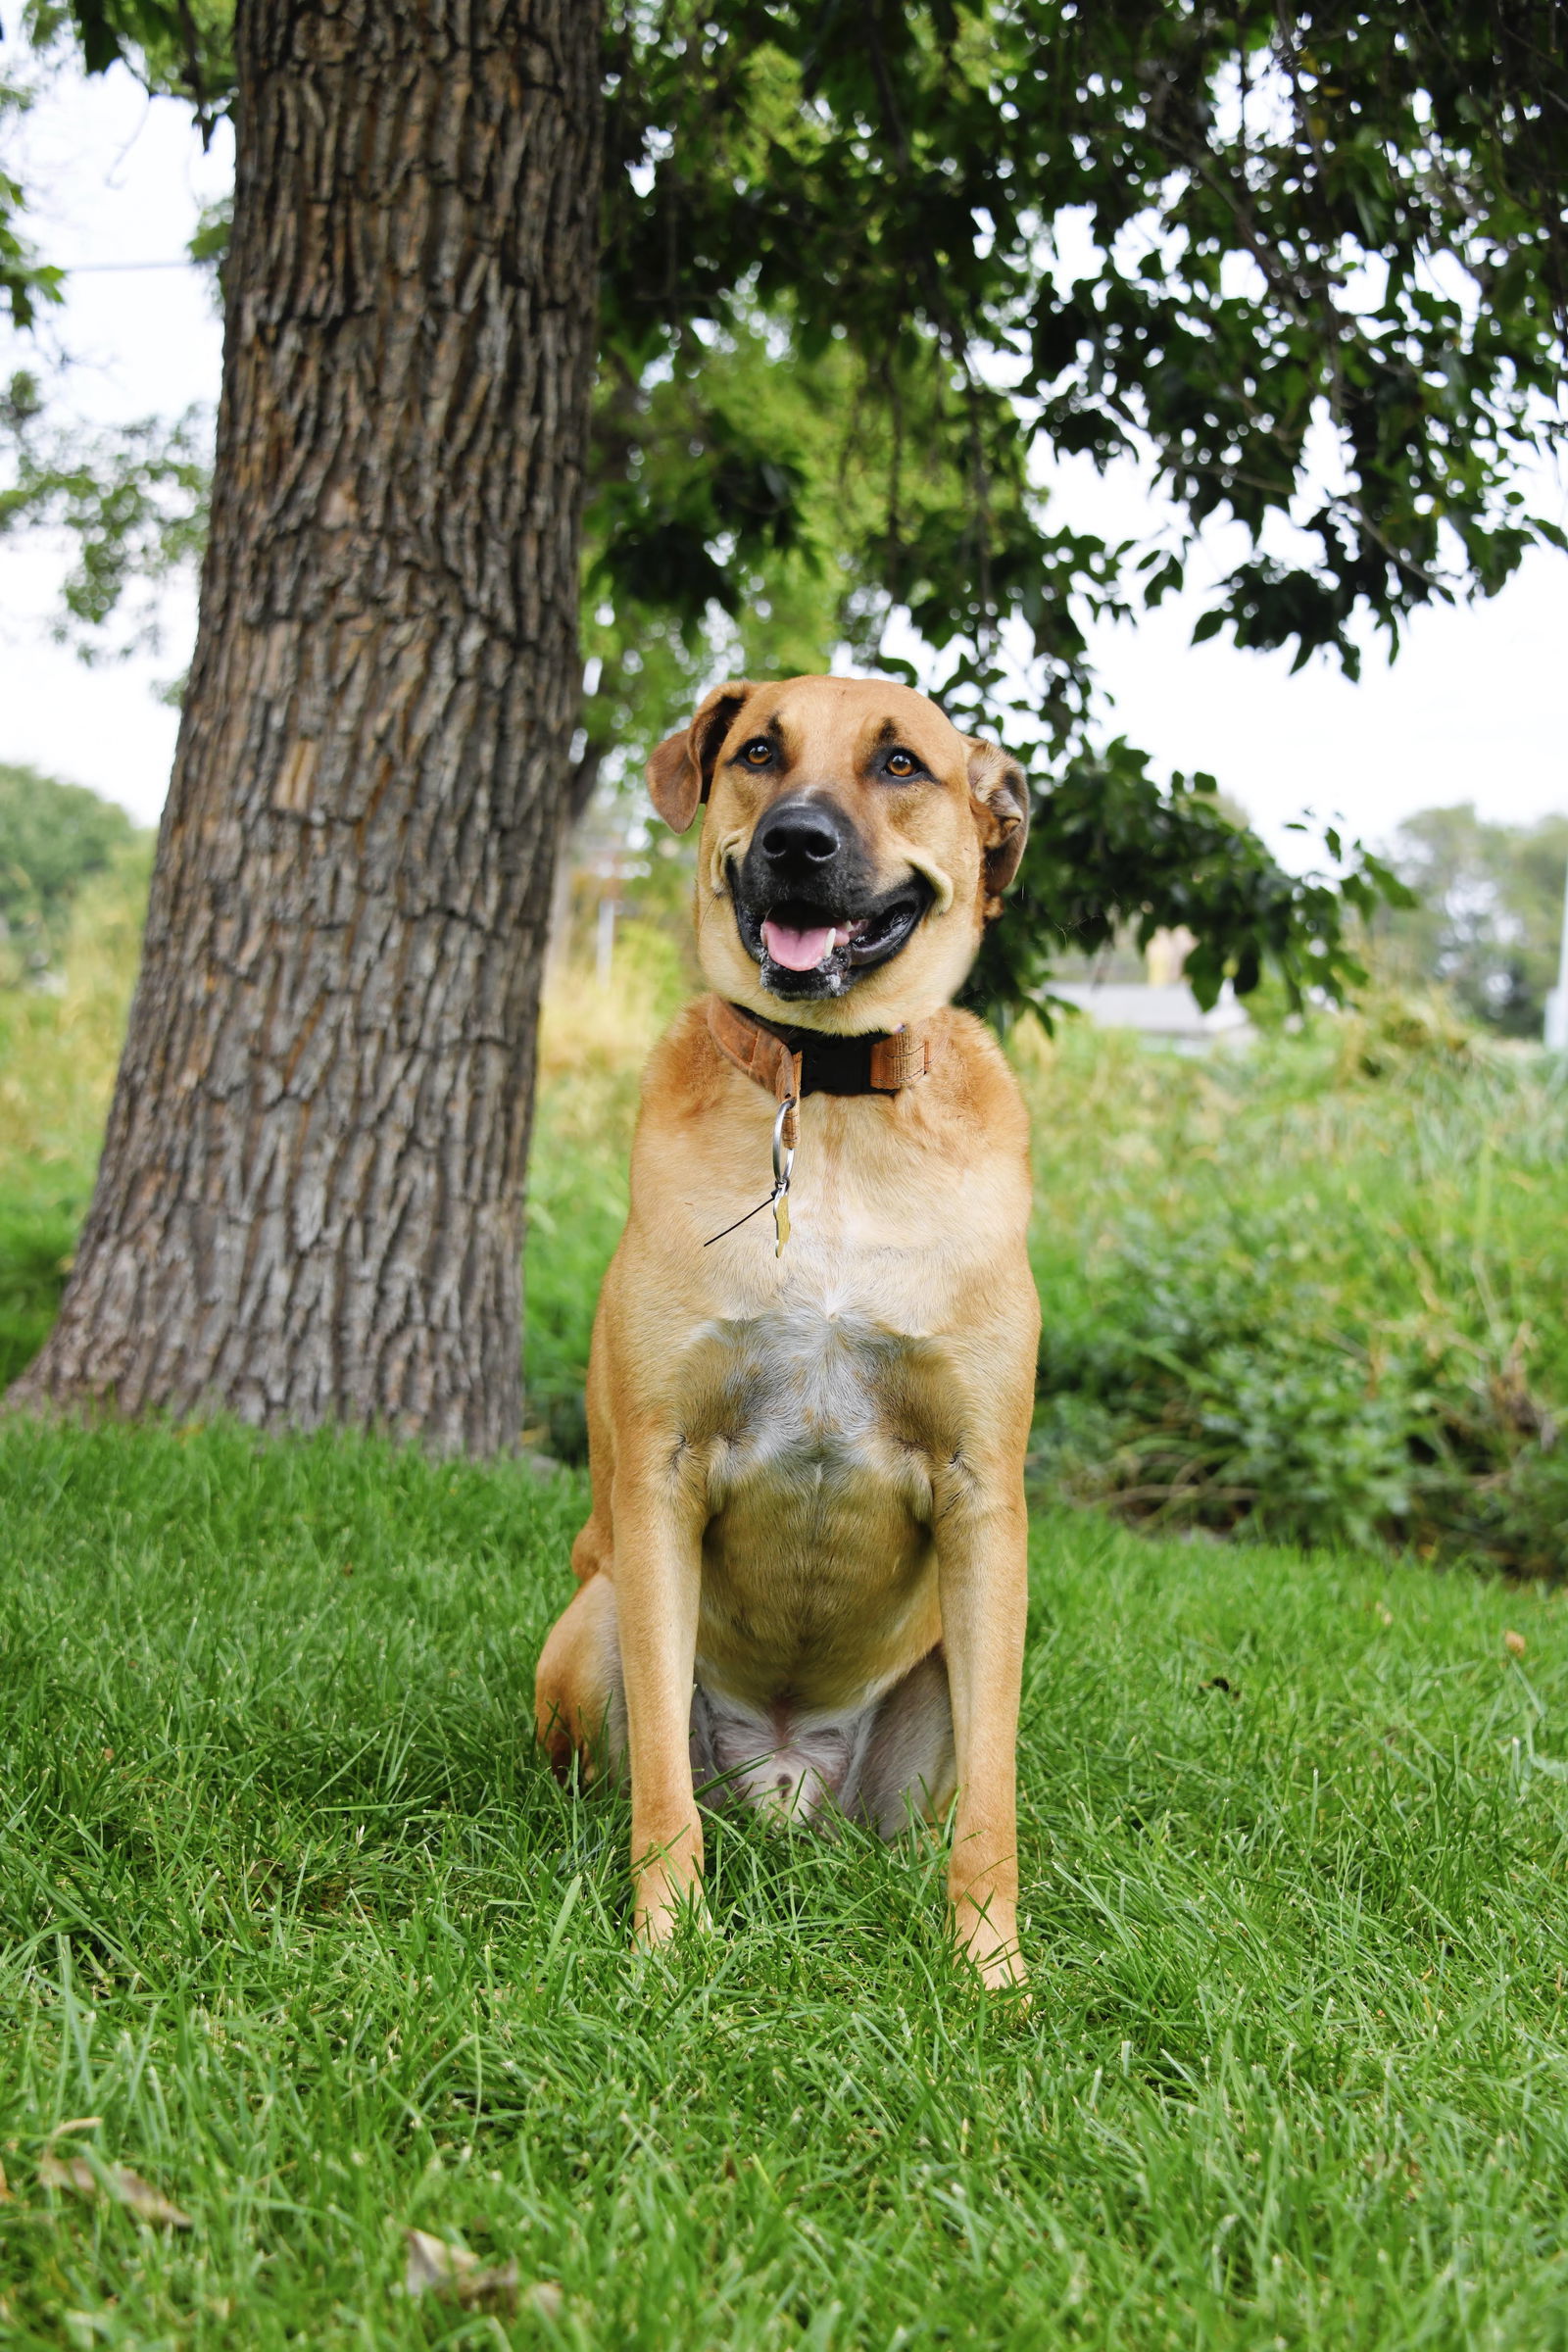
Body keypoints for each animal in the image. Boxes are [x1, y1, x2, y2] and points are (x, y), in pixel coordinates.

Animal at [540, 677, 1044, 1984]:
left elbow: (995, 1804)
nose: (796, 843)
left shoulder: (983, 1498)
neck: (823, 1100)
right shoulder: (660, 1477)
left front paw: (991, 1971)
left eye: (902, 765)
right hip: (594, 1620)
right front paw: (666, 1944)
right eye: (760, 751)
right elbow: (660, 1793)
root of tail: (784, 1782)